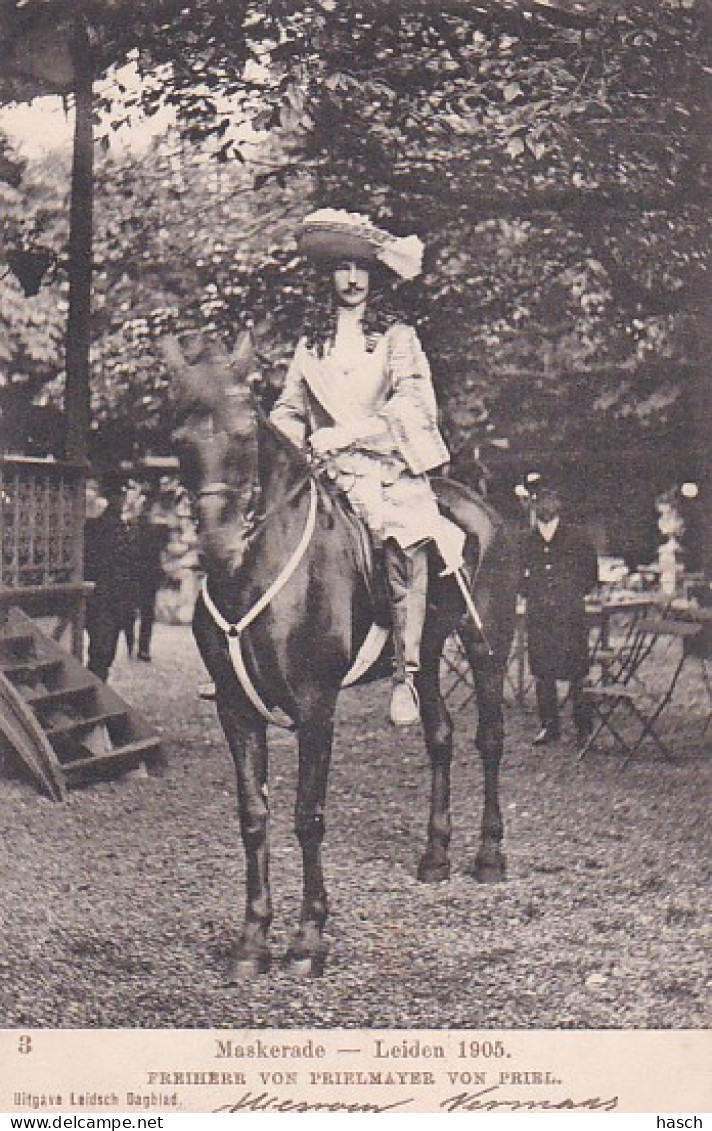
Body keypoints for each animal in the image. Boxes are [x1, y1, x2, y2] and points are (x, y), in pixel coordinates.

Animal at [160, 330, 519, 977]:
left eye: (246, 433)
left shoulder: (315, 707)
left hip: (487, 649)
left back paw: (488, 856)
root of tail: (485, 510)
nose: (221, 548)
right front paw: (252, 941)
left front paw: (308, 939)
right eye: (179, 440)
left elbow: (308, 816)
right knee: (441, 737)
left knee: (490, 742)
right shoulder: (235, 709)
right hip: (427, 657)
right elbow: (253, 817)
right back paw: (435, 856)